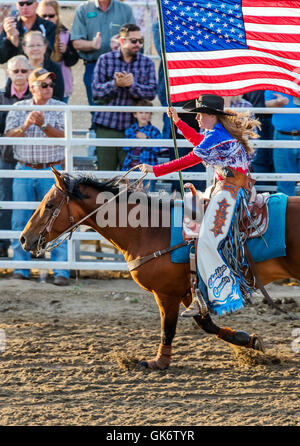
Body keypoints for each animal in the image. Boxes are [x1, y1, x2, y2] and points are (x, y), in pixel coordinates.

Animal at [19, 168, 300, 370]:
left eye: (49, 205)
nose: (24, 239)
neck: (150, 230)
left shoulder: (166, 294)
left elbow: (169, 328)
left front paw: (158, 363)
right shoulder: (190, 293)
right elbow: (206, 324)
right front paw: (248, 340)